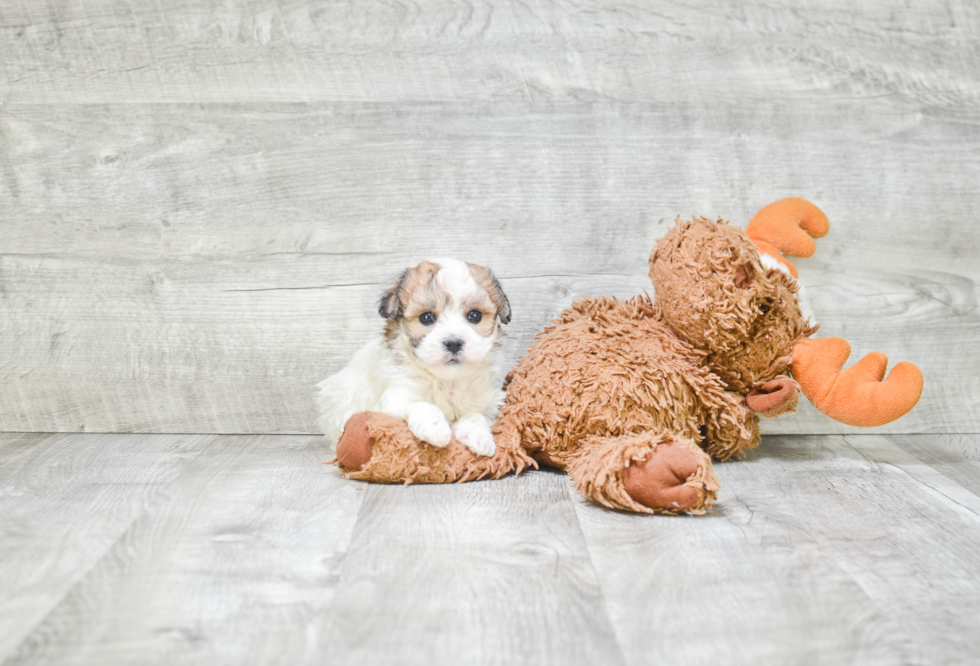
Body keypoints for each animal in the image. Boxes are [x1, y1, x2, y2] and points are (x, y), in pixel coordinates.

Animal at [318, 258, 512, 456]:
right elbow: (420, 405)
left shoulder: (486, 401)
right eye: (426, 317)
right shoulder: (396, 395)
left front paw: (479, 436)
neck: (446, 381)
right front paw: (436, 427)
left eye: (475, 315)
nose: (453, 343)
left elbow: (475, 414)